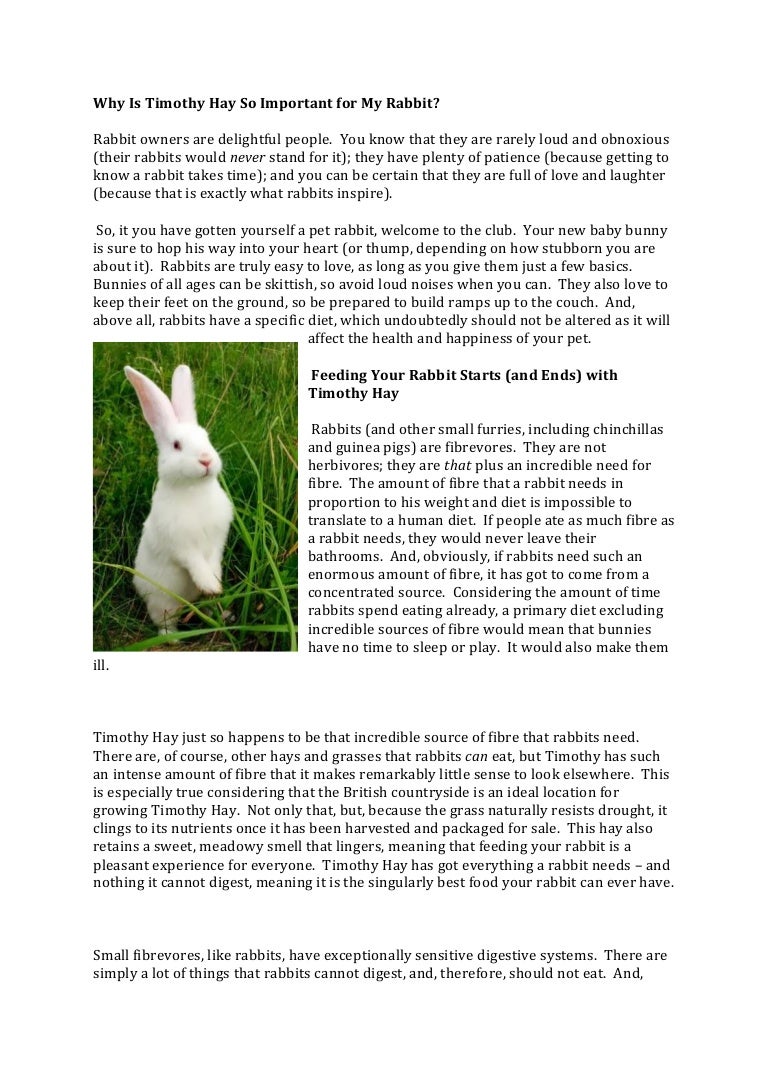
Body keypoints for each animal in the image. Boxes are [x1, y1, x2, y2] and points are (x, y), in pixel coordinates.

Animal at [124, 364, 234, 632]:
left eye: (206, 437)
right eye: (176, 445)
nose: (206, 459)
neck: (194, 490)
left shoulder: (217, 539)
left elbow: (212, 559)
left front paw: (215, 584)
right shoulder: (181, 545)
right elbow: (195, 562)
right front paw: (211, 585)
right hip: (163, 603)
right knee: (165, 621)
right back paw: (171, 636)